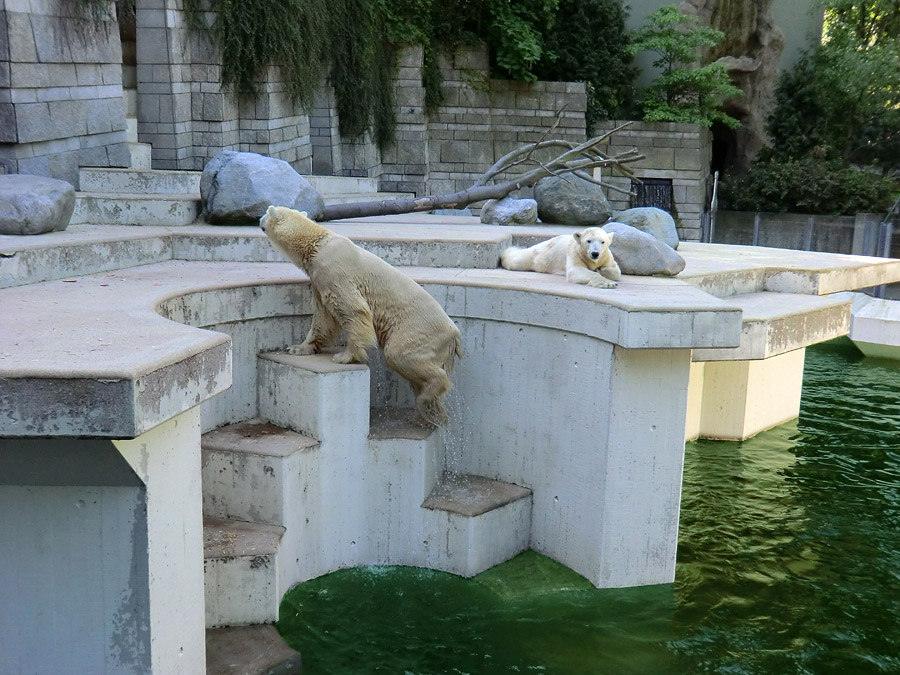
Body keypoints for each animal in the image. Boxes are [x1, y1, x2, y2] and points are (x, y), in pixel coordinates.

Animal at [256, 207, 460, 428]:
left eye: (267, 212)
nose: (259, 219)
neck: (317, 243)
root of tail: (455, 335)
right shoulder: (318, 279)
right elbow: (323, 318)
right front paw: (298, 348)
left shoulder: (334, 271)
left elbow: (352, 310)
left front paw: (345, 356)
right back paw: (434, 413)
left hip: (418, 329)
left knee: (400, 354)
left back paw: (429, 397)